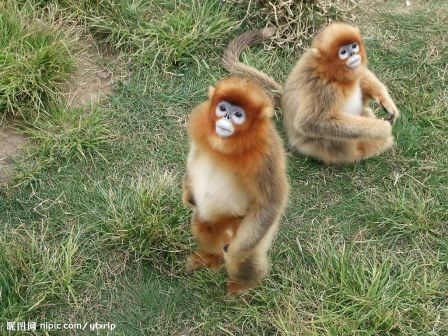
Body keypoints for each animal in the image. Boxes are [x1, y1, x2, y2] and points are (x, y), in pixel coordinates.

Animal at [184, 76, 288, 294]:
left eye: (239, 115)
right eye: (222, 108)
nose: (227, 117)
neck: (228, 146)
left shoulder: (266, 154)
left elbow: (271, 202)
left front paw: (234, 257)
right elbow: (195, 155)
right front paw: (187, 193)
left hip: (251, 228)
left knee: (245, 256)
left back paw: (243, 286)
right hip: (216, 219)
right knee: (199, 223)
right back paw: (210, 257)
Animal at [224, 22, 400, 164]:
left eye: (353, 46)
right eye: (343, 52)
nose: (352, 54)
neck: (331, 73)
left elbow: (360, 74)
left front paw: (386, 102)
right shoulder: (324, 88)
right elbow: (310, 122)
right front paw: (381, 129)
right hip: (313, 146)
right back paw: (371, 149)